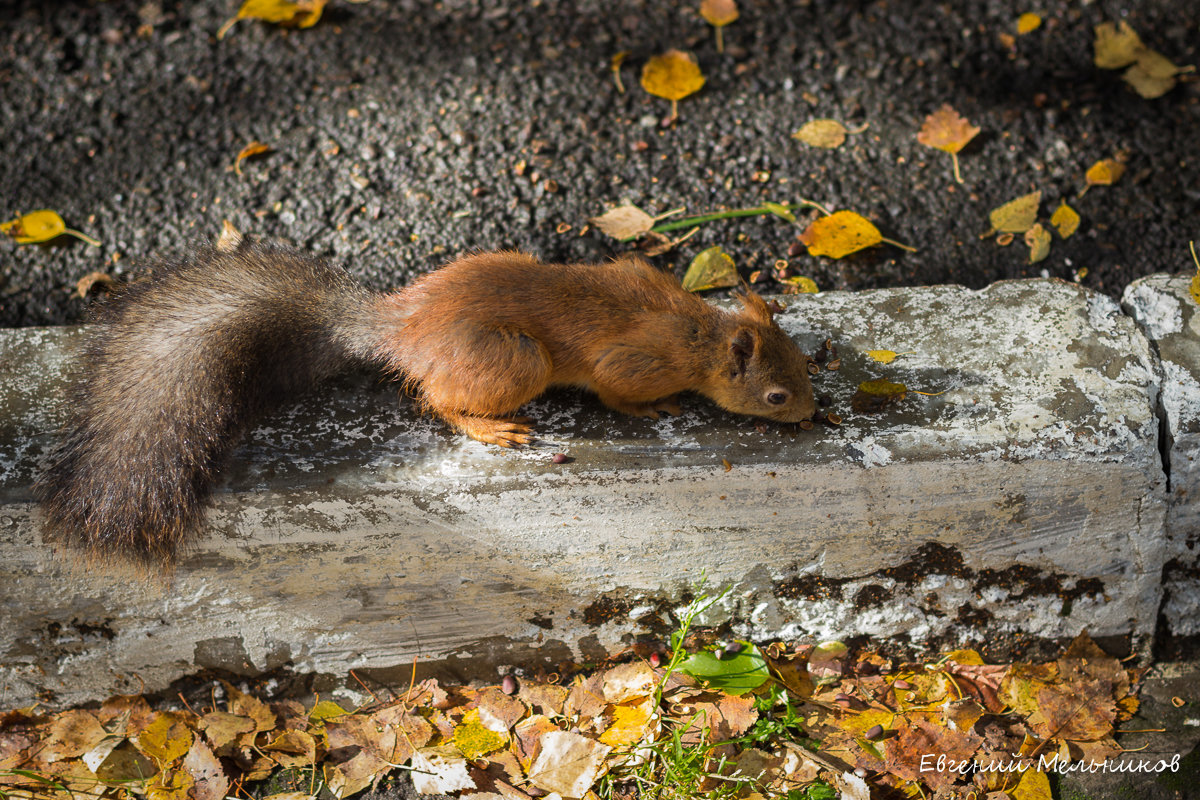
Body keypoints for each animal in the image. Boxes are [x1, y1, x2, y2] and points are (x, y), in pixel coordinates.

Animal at [37, 231, 820, 568]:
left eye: (806, 367)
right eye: (777, 393)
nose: (815, 414)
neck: (697, 334)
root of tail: (399, 328)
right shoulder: (631, 362)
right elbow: (619, 390)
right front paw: (649, 412)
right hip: (514, 360)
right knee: (433, 402)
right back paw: (492, 429)